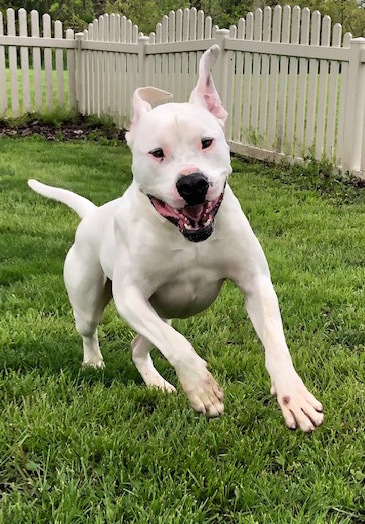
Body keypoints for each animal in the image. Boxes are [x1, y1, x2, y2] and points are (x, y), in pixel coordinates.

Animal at [29, 44, 324, 430]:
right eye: (157, 153)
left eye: (207, 142)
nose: (192, 183)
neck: (186, 236)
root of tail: (92, 214)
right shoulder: (130, 296)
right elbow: (179, 345)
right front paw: (201, 388)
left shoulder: (256, 283)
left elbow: (276, 344)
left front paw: (294, 395)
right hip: (90, 301)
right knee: (93, 331)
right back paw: (94, 361)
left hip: (160, 311)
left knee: (139, 346)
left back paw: (156, 382)